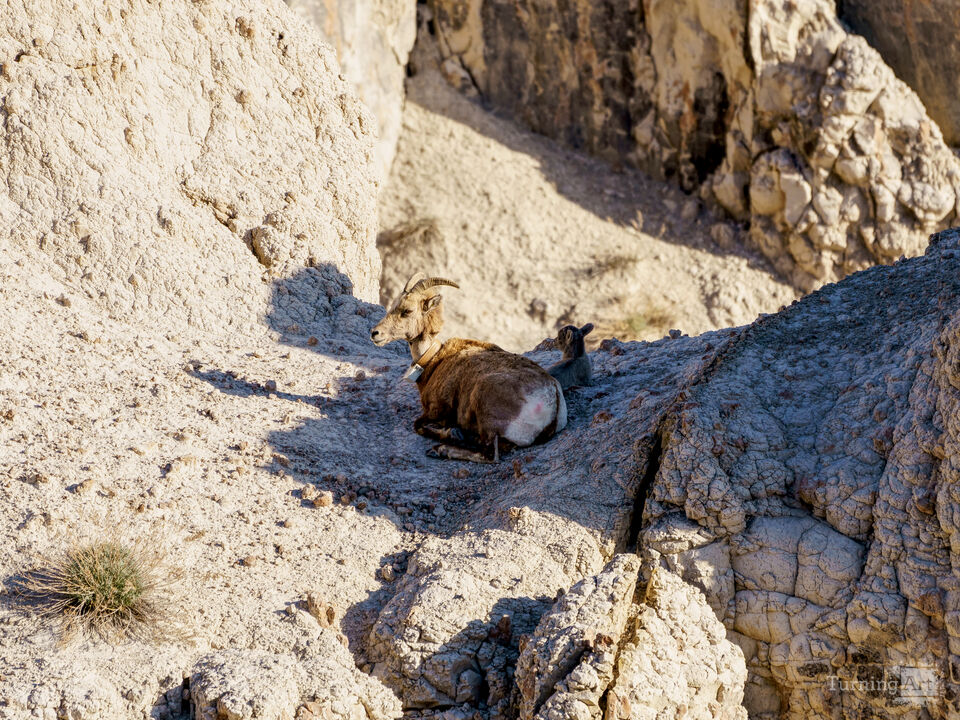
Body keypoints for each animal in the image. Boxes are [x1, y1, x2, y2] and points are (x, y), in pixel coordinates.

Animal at [370, 272, 567, 462]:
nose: (375, 333)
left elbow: (418, 425)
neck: (434, 360)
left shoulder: (436, 411)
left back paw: (440, 449)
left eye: (407, 311)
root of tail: (553, 398)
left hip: (486, 407)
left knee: (490, 455)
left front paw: (453, 433)